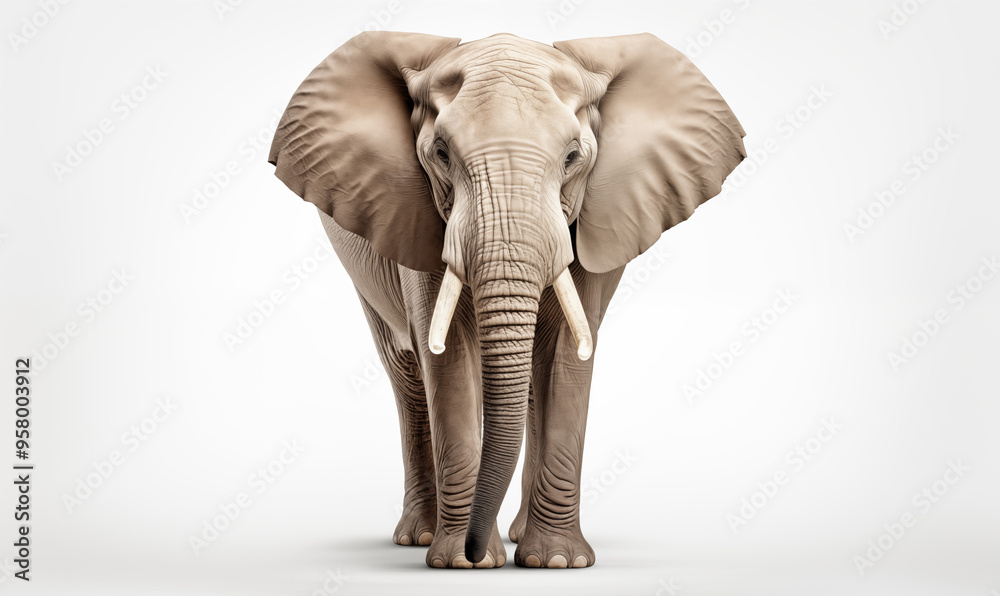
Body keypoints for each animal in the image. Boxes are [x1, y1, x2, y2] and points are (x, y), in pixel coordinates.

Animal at [267, 31, 745, 569]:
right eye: (440, 153)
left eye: (573, 157)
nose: (475, 552)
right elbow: (447, 355)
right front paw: (461, 562)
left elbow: (565, 358)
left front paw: (555, 562)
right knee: (406, 376)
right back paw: (420, 536)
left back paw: (514, 535)